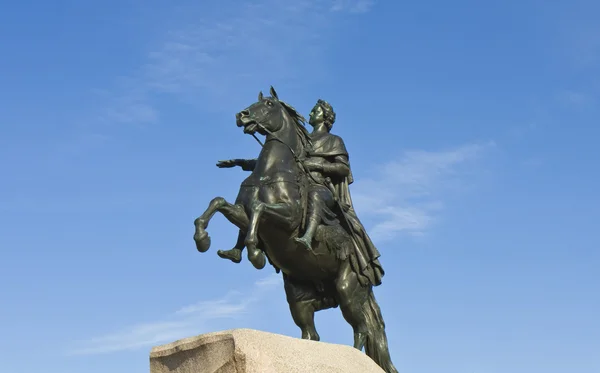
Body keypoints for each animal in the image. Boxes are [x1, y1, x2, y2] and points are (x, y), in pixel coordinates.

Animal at [193, 87, 398, 372]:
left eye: (268, 104)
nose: (241, 115)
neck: (269, 173)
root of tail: (368, 276)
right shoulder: (242, 214)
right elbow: (219, 203)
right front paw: (203, 238)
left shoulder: (287, 218)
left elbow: (259, 208)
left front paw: (255, 253)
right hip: (299, 298)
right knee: (312, 334)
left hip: (348, 291)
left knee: (363, 330)